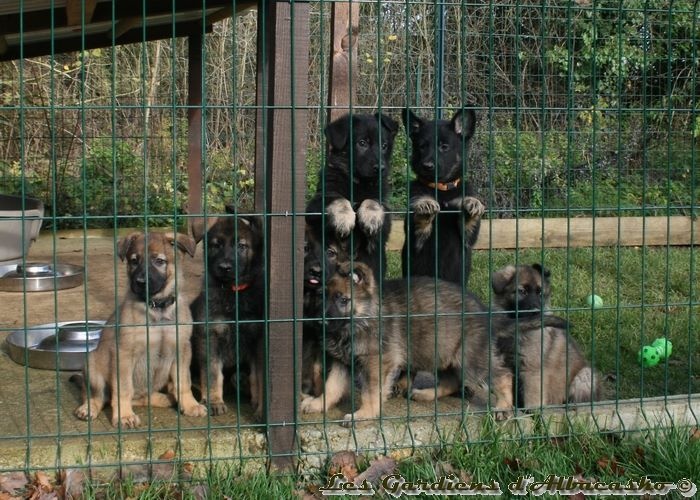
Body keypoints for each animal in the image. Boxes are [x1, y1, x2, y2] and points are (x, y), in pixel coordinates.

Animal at [77, 232, 209, 428]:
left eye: (159, 261)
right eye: (134, 261)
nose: (140, 282)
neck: (157, 308)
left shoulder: (182, 349)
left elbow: (184, 381)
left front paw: (190, 405)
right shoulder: (124, 354)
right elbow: (123, 388)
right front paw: (124, 416)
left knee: (141, 397)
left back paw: (165, 398)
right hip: (92, 363)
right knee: (98, 396)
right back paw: (88, 408)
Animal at [189, 207, 266, 418]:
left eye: (241, 246)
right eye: (216, 245)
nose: (224, 267)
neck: (233, 293)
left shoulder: (257, 340)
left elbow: (258, 376)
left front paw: (259, 406)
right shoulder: (210, 336)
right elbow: (212, 372)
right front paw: (214, 401)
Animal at [402, 106, 484, 286]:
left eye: (444, 147)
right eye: (422, 146)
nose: (427, 166)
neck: (442, 190)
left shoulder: (468, 240)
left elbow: (469, 222)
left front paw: (473, 203)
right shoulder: (416, 240)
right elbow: (421, 221)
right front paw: (425, 204)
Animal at [490, 264, 600, 408]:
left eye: (540, 293)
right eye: (522, 291)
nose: (536, 311)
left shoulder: (533, 369)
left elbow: (532, 395)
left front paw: (532, 411)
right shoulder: (501, 363)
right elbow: (503, 386)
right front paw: (504, 407)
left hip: (585, 376)